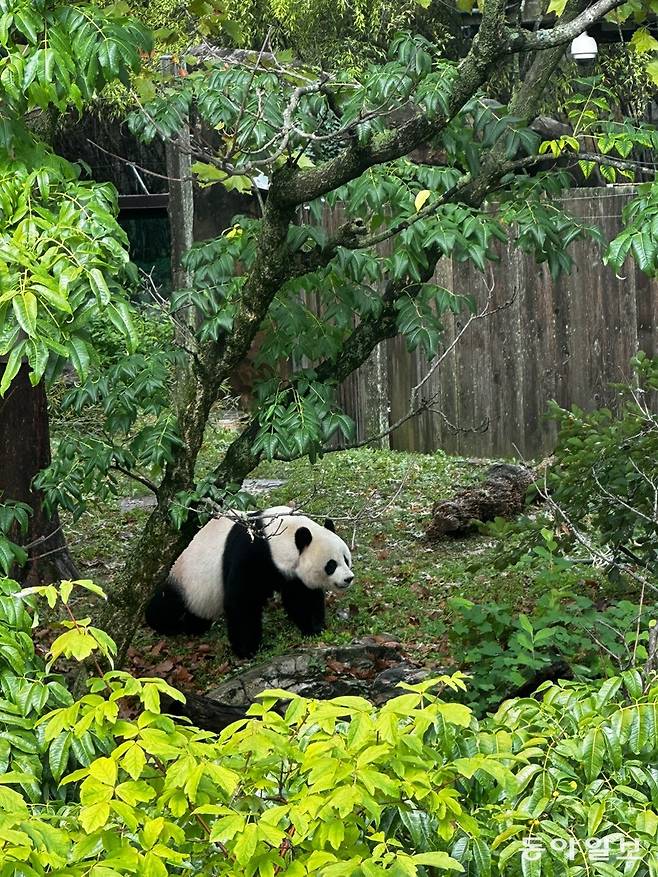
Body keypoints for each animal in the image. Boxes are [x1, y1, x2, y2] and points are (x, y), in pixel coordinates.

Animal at [144, 506, 354, 656]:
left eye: (346, 559)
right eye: (331, 565)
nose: (348, 578)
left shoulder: (290, 573)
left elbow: (301, 596)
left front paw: (314, 628)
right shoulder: (251, 552)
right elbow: (242, 601)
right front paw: (249, 650)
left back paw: (195, 627)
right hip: (181, 578)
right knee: (165, 606)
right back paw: (167, 625)